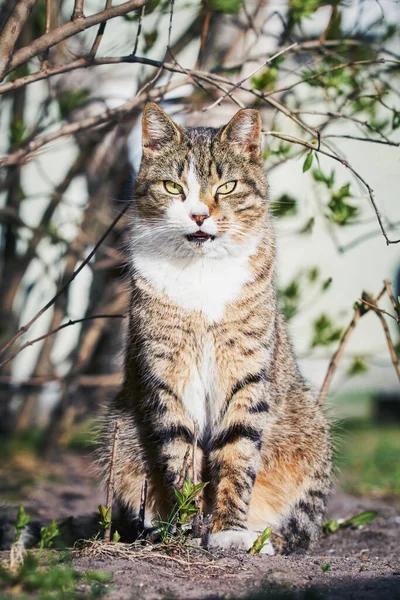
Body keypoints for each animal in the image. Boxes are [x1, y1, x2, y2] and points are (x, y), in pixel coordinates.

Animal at [97, 102, 332, 552]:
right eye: (173, 187)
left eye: (227, 187)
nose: (199, 214)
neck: (200, 269)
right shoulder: (168, 370)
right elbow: (180, 452)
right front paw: (187, 526)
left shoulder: (245, 370)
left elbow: (237, 452)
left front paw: (228, 530)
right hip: (119, 434)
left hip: (309, 430)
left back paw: (261, 537)